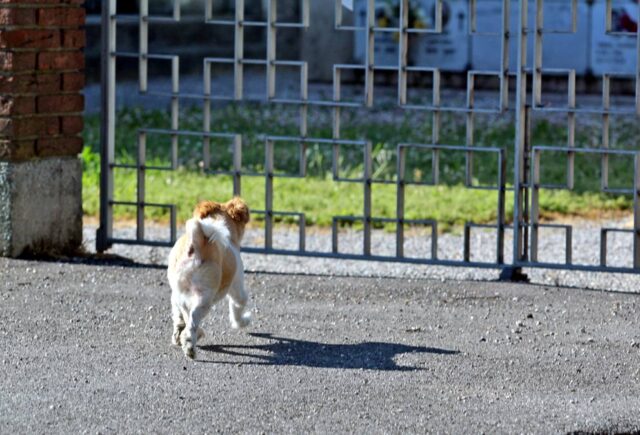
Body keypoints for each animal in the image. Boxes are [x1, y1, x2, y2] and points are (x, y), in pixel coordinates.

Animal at [166, 198, 251, 362]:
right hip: (205, 299)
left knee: (186, 317)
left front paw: (178, 334)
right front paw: (243, 321)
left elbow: (178, 316)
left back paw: (188, 336)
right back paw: (190, 347)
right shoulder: (237, 288)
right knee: (192, 322)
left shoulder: (176, 298)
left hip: (181, 292)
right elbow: (238, 306)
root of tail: (198, 241)